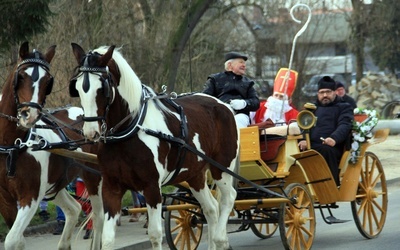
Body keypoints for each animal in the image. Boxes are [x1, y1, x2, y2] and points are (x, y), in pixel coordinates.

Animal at [0, 42, 103, 249]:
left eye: (48, 82)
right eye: (20, 76)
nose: (29, 115)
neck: (12, 147)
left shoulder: (30, 197)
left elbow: (12, 239)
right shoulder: (4, 200)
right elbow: (17, 240)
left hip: (93, 177)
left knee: (98, 216)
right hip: (56, 185)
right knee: (74, 209)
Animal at [69, 43, 239, 250]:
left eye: (102, 89)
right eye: (78, 88)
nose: (91, 132)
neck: (128, 131)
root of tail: (224, 104)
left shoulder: (152, 188)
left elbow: (155, 234)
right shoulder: (111, 187)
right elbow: (107, 238)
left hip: (221, 167)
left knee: (229, 198)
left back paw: (221, 237)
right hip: (195, 174)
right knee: (211, 208)